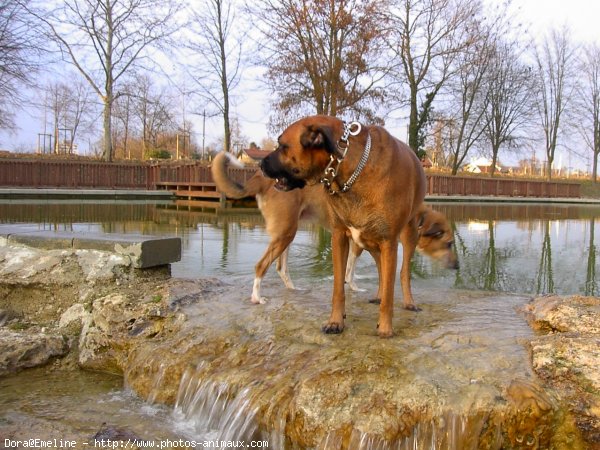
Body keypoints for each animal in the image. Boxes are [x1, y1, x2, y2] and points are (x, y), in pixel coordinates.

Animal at [212, 152, 460, 306]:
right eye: (448, 243)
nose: (458, 267)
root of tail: (261, 178)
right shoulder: (357, 242)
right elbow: (350, 270)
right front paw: (355, 288)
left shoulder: (353, 240)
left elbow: (349, 268)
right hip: (285, 234)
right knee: (261, 266)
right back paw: (257, 297)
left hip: (287, 234)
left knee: (281, 268)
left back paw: (293, 290)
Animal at [260, 114, 428, 336]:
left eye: (282, 146)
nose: (260, 163)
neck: (352, 169)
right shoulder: (339, 237)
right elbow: (339, 287)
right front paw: (335, 321)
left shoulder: (388, 241)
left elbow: (391, 290)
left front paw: (385, 328)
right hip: (367, 241)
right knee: (381, 269)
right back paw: (378, 295)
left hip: (407, 235)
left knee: (402, 272)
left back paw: (409, 302)